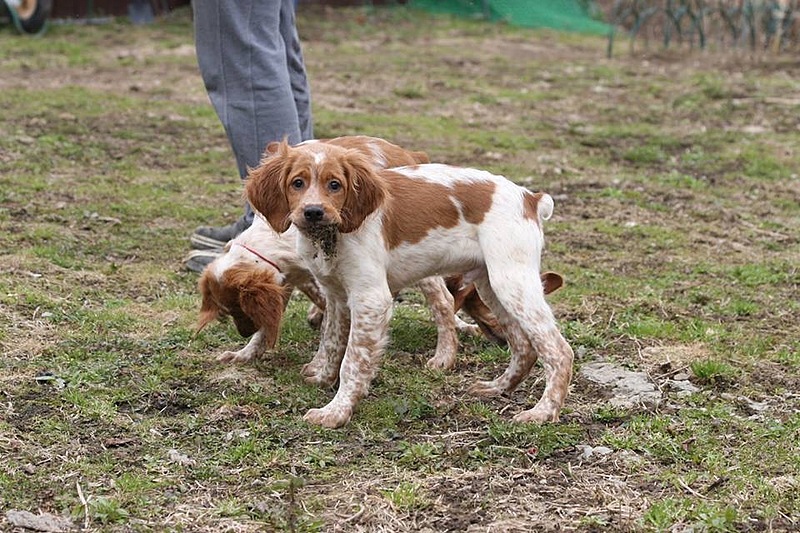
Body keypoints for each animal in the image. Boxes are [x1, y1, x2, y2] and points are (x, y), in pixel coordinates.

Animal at [245, 139, 576, 426]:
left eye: (334, 185)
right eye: (297, 183)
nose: (313, 212)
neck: (334, 234)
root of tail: (529, 197)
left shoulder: (371, 298)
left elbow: (353, 359)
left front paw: (336, 411)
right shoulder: (336, 295)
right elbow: (331, 341)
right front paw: (323, 377)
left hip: (512, 281)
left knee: (558, 351)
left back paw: (542, 413)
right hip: (491, 284)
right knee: (523, 345)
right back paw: (497, 387)